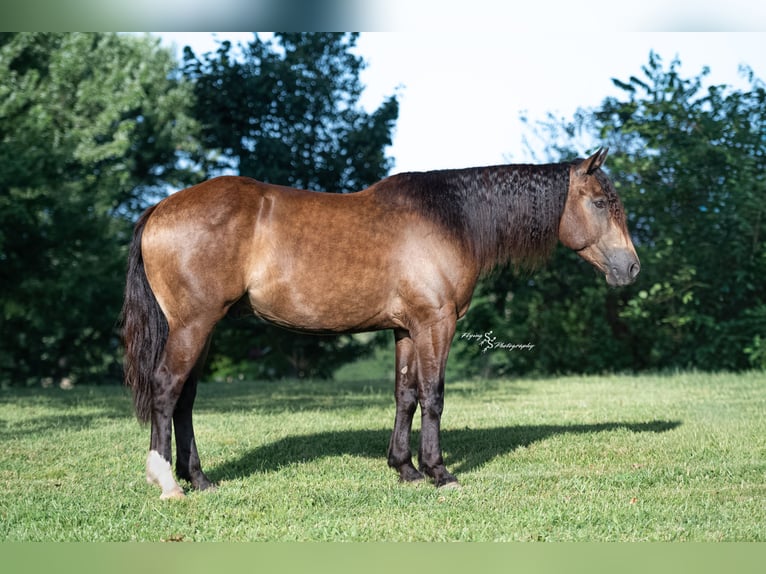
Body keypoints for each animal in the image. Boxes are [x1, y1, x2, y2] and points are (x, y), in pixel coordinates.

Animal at [121, 147, 640, 499]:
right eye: (599, 202)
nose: (632, 268)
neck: (451, 219)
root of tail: (159, 208)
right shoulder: (436, 324)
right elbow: (433, 397)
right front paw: (438, 472)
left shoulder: (407, 329)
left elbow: (405, 395)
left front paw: (404, 468)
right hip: (192, 326)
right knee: (167, 389)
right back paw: (167, 482)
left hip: (203, 329)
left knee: (186, 399)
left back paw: (200, 478)